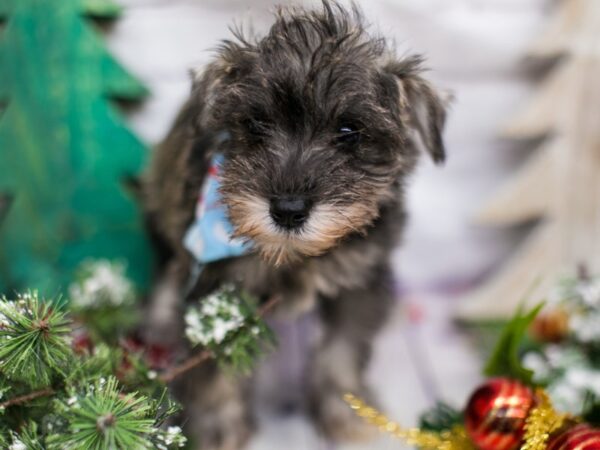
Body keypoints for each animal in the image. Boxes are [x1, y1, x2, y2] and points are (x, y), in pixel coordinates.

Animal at [143, 1, 448, 448]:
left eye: (349, 131)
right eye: (254, 124)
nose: (287, 209)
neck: (292, 257)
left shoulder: (358, 281)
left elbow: (342, 353)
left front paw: (347, 417)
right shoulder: (214, 293)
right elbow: (214, 371)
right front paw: (216, 430)